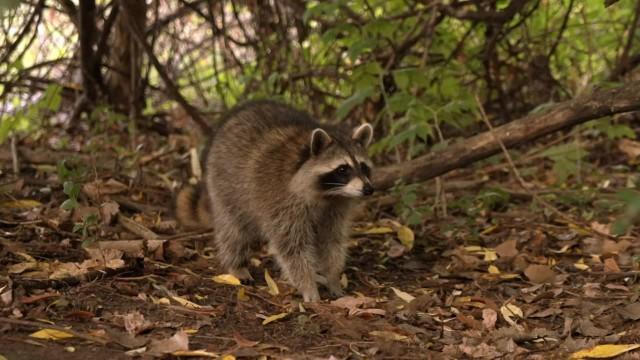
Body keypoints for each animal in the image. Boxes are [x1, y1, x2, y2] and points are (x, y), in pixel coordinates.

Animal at [175, 100, 376, 300]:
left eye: (363, 167)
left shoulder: (335, 208)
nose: (368, 189)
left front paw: (332, 277)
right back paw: (236, 264)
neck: (328, 194)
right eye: (342, 169)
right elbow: (292, 248)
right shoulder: (282, 201)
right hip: (225, 187)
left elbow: (332, 241)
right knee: (233, 230)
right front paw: (308, 286)